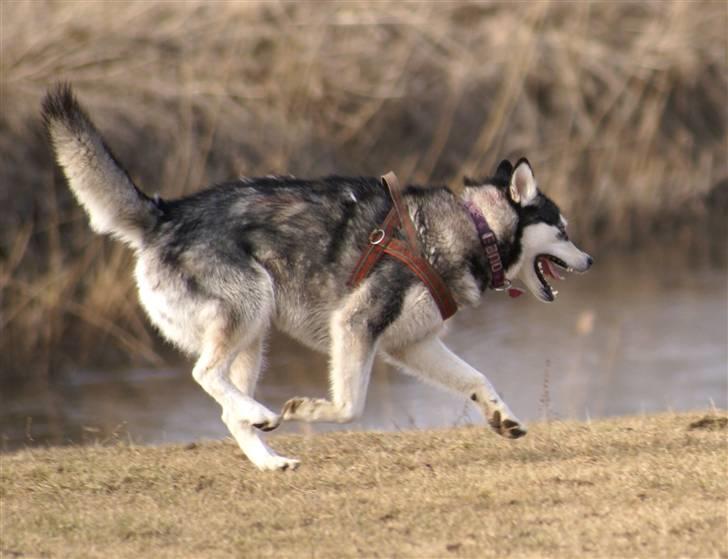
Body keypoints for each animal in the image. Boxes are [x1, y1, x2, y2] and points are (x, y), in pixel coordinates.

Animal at [42, 85, 592, 470]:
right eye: (564, 230)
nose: (590, 261)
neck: (471, 227)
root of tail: (164, 214)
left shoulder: (412, 344)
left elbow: (477, 378)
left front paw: (503, 419)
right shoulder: (355, 326)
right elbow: (349, 406)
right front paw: (306, 411)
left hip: (254, 336)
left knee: (224, 408)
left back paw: (269, 458)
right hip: (250, 306)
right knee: (205, 374)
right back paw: (263, 415)